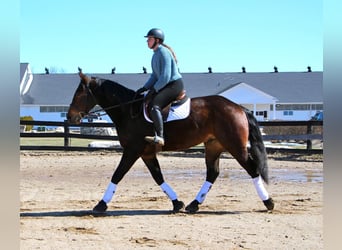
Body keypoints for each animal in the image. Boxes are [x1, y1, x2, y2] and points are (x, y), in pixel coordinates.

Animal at [67, 70, 276, 213]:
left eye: (79, 94)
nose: (70, 117)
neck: (128, 111)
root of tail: (239, 108)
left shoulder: (133, 150)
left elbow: (117, 175)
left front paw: (101, 205)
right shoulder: (146, 153)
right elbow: (158, 176)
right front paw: (177, 203)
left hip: (236, 147)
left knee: (252, 169)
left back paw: (268, 202)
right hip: (214, 146)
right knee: (213, 173)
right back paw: (193, 204)